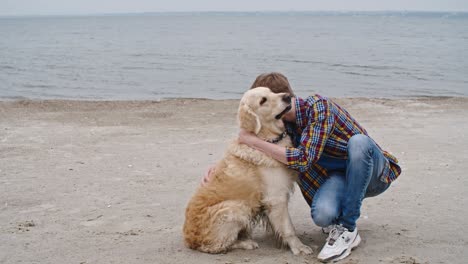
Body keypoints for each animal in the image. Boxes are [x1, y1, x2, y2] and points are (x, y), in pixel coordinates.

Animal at [185, 87, 312, 256]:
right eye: (263, 100)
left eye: (272, 91)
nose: (287, 96)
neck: (266, 139)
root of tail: (189, 240)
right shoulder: (276, 197)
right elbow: (288, 228)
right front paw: (298, 247)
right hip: (236, 208)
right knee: (219, 246)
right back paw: (245, 243)